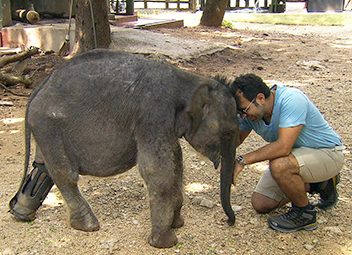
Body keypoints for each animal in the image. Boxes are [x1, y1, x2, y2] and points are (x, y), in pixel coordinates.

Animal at [20, 48, 239, 248]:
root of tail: (38, 89)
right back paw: (88, 226)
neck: (189, 80)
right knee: (65, 174)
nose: (229, 221)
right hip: (49, 127)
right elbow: (157, 171)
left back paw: (22, 212)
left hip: (46, 132)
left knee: (44, 167)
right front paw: (165, 242)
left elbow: (177, 161)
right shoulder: (152, 116)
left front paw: (177, 223)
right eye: (228, 133)